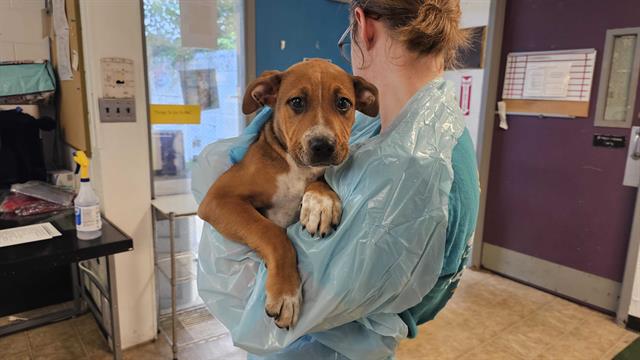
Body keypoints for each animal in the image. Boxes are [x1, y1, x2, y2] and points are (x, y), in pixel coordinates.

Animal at [198, 59, 378, 330]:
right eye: (296, 102)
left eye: (343, 103)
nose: (323, 146)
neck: (296, 167)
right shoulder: (219, 197)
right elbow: (272, 232)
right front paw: (286, 294)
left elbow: (321, 179)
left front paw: (321, 204)